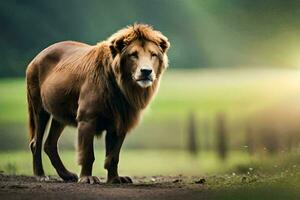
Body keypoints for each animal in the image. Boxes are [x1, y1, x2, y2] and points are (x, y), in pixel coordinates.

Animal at [25, 24, 170, 184]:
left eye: (153, 54)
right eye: (133, 55)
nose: (146, 71)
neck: (122, 87)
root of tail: (37, 57)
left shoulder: (121, 120)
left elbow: (113, 156)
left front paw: (115, 178)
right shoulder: (87, 118)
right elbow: (88, 153)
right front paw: (87, 178)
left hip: (60, 112)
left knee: (49, 144)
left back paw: (67, 175)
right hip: (39, 107)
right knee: (36, 142)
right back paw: (41, 175)